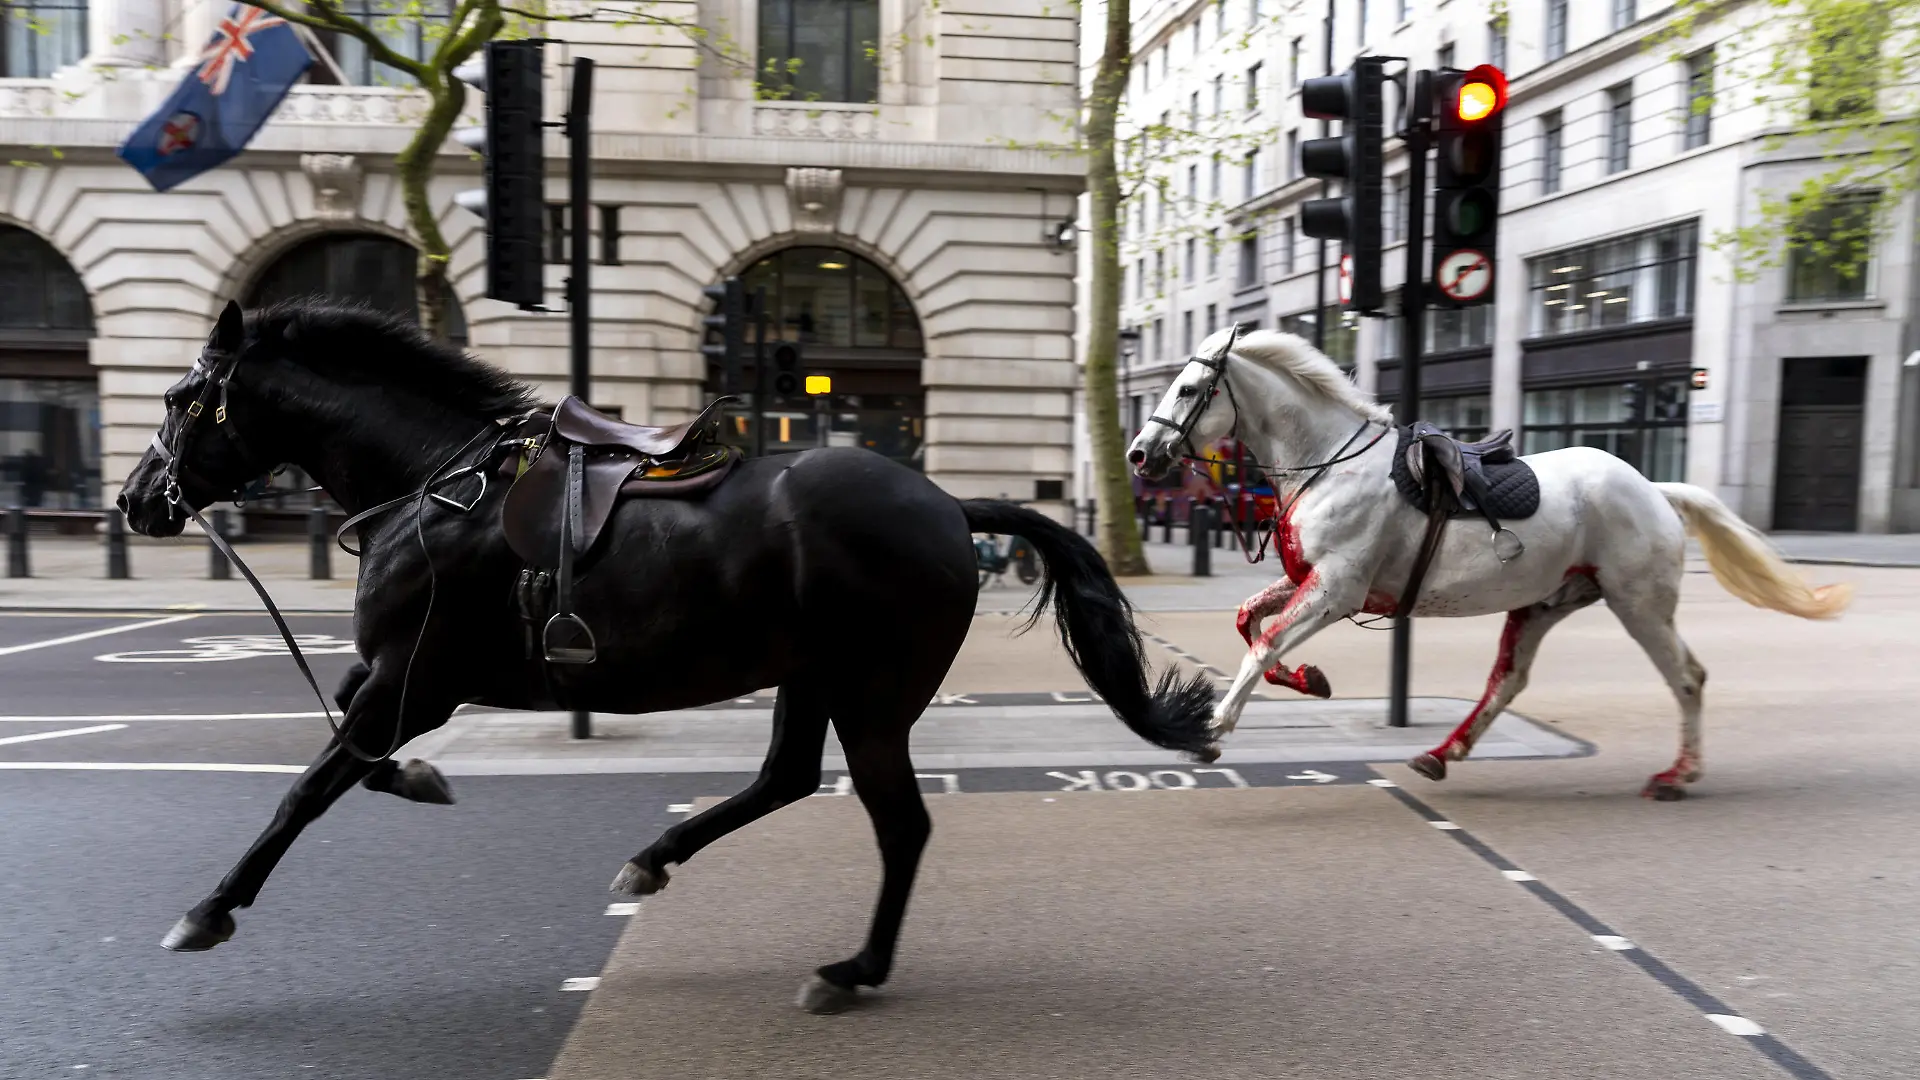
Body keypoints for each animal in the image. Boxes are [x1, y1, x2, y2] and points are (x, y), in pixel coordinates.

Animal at [115, 298, 1216, 1013]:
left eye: (178, 398)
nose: (131, 502)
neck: (435, 485)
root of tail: (949, 504)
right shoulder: (397, 679)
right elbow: (352, 747)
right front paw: (424, 780)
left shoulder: (415, 679)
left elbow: (309, 786)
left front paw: (209, 909)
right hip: (811, 675)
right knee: (785, 778)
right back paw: (657, 860)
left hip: (873, 694)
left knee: (899, 824)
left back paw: (852, 969)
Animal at [1127, 326, 1851, 800]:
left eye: (1188, 388)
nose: (1139, 454)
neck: (1329, 462)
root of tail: (1653, 488)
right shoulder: (1311, 581)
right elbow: (1251, 622)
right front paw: (1310, 679)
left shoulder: (1337, 589)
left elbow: (1264, 643)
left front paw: (1213, 729)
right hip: (1545, 603)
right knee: (1508, 680)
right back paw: (1443, 753)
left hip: (1638, 603)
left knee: (1688, 678)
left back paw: (1679, 774)